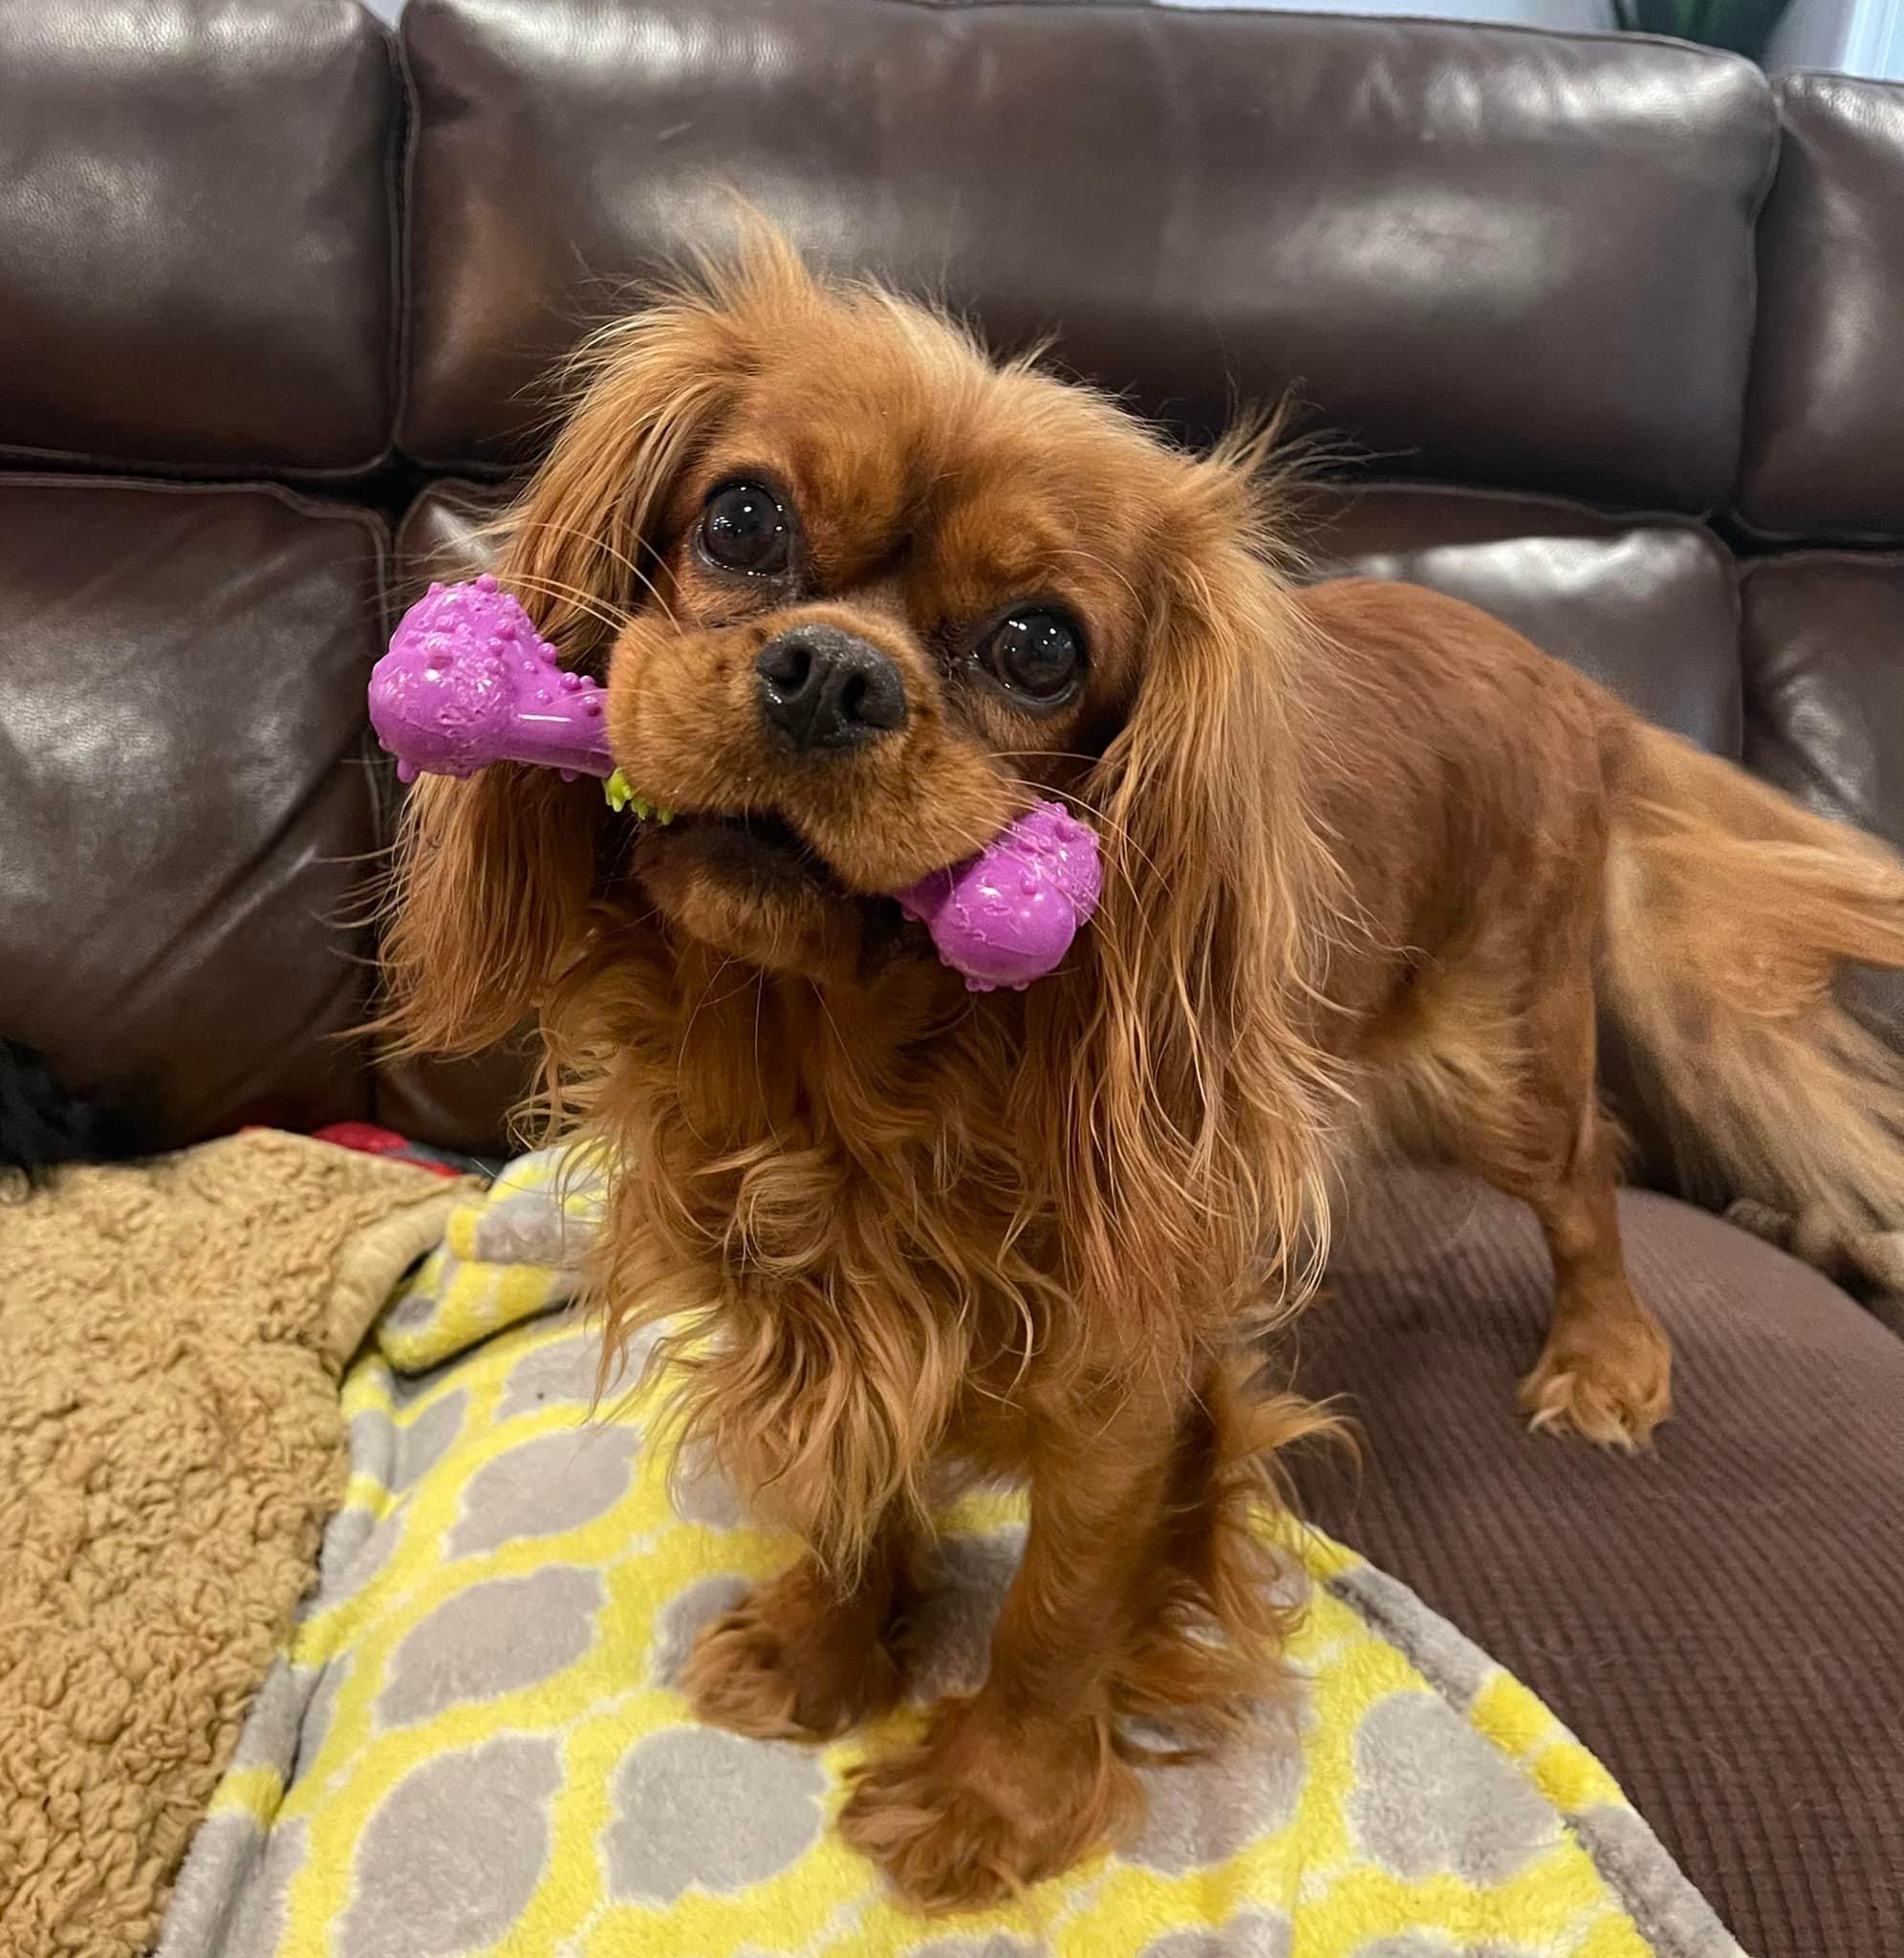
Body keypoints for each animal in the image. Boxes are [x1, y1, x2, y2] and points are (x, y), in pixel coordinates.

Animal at [383, 230, 1904, 1911]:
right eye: (742, 518)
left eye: (1042, 646)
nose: (831, 673)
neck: (839, 1063)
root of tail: (1576, 684)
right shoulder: (823, 1309)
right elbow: (852, 1485)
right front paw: (825, 1660)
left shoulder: (1126, 1395)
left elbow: (1059, 1609)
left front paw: (992, 1806)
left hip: (1493, 1058)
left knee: (1585, 1178)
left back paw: (1606, 1355)